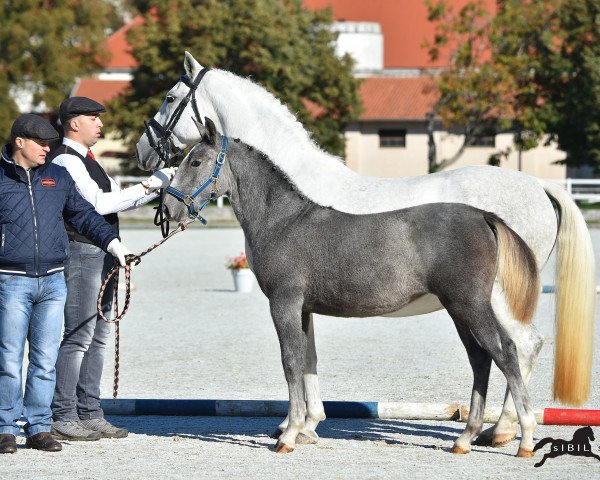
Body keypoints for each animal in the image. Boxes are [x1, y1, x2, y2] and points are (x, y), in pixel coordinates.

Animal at [162, 117, 556, 458]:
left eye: (195, 160)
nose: (167, 210)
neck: (283, 221)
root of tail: (483, 216)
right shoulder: (303, 310)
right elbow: (307, 362)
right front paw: (304, 428)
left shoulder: (284, 303)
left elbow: (290, 362)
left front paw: (288, 436)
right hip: (460, 310)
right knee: (480, 359)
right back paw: (465, 439)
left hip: (471, 305)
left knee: (505, 351)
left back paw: (522, 436)